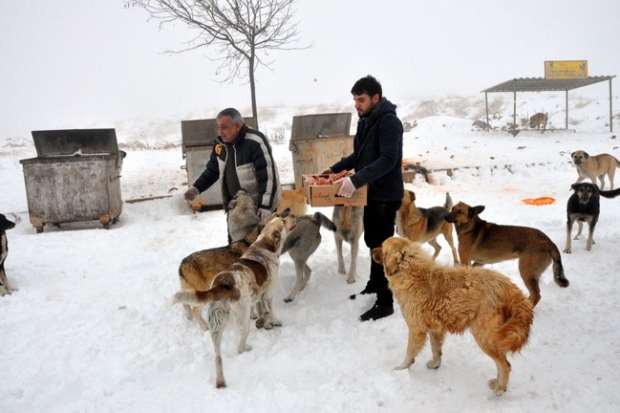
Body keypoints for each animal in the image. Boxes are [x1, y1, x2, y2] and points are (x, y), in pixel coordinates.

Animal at [170, 214, 296, 388]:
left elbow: (261, 311)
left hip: (216, 326)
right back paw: (246, 349)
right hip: (239, 319)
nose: (293, 214)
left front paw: (263, 322)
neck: (262, 246)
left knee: (217, 357)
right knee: (239, 347)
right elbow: (269, 311)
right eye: (282, 219)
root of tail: (223, 286)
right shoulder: (268, 294)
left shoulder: (258, 296)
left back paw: (220, 381)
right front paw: (272, 322)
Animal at [372, 238, 532, 396]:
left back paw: (500, 388)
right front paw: (435, 364)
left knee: (505, 365)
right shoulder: (434, 329)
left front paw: (401, 369)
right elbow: (436, 350)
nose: (372, 250)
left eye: (382, 248)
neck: (411, 272)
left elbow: (409, 353)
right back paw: (496, 383)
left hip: (485, 337)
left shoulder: (416, 329)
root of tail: (512, 290)